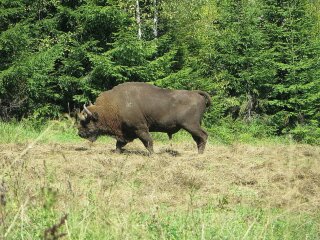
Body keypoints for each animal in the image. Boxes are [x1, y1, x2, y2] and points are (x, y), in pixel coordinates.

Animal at [77, 82, 211, 154]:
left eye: (85, 121)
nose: (79, 133)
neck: (114, 105)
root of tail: (196, 93)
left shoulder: (140, 128)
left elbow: (148, 142)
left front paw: (152, 155)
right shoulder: (126, 132)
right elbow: (119, 144)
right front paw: (117, 152)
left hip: (190, 125)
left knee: (203, 136)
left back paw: (200, 154)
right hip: (193, 126)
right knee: (198, 139)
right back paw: (199, 153)